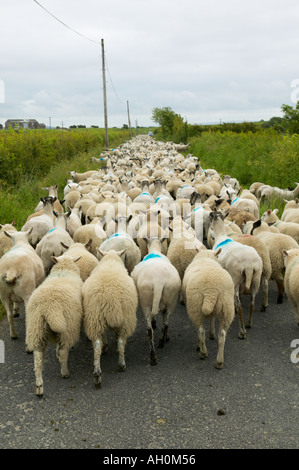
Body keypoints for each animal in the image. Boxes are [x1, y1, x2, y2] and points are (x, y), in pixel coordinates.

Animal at [24, 255, 82, 398]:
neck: (64, 270)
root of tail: (49, 307)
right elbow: (60, 350)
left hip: (36, 329)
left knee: (38, 361)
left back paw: (39, 388)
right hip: (67, 328)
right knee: (63, 352)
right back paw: (65, 372)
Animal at [82, 248, 138, 388]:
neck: (111, 261)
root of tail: (110, 297)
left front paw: (106, 345)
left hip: (94, 317)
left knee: (97, 345)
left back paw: (97, 375)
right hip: (126, 319)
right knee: (121, 342)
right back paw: (121, 365)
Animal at [132, 237, 183, 366]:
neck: (155, 249)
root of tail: (158, 280)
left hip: (145, 302)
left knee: (149, 331)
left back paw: (153, 356)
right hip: (171, 299)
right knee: (166, 323)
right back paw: (161, 342)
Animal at [210, 211, 264, 340]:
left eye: (211, 227)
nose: (212, 236)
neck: (221, 236)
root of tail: (249, 265)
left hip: (235, 279)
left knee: (240, 306)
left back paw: (242, 331)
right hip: (256, 278)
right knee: (252, 302)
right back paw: (248, 323)